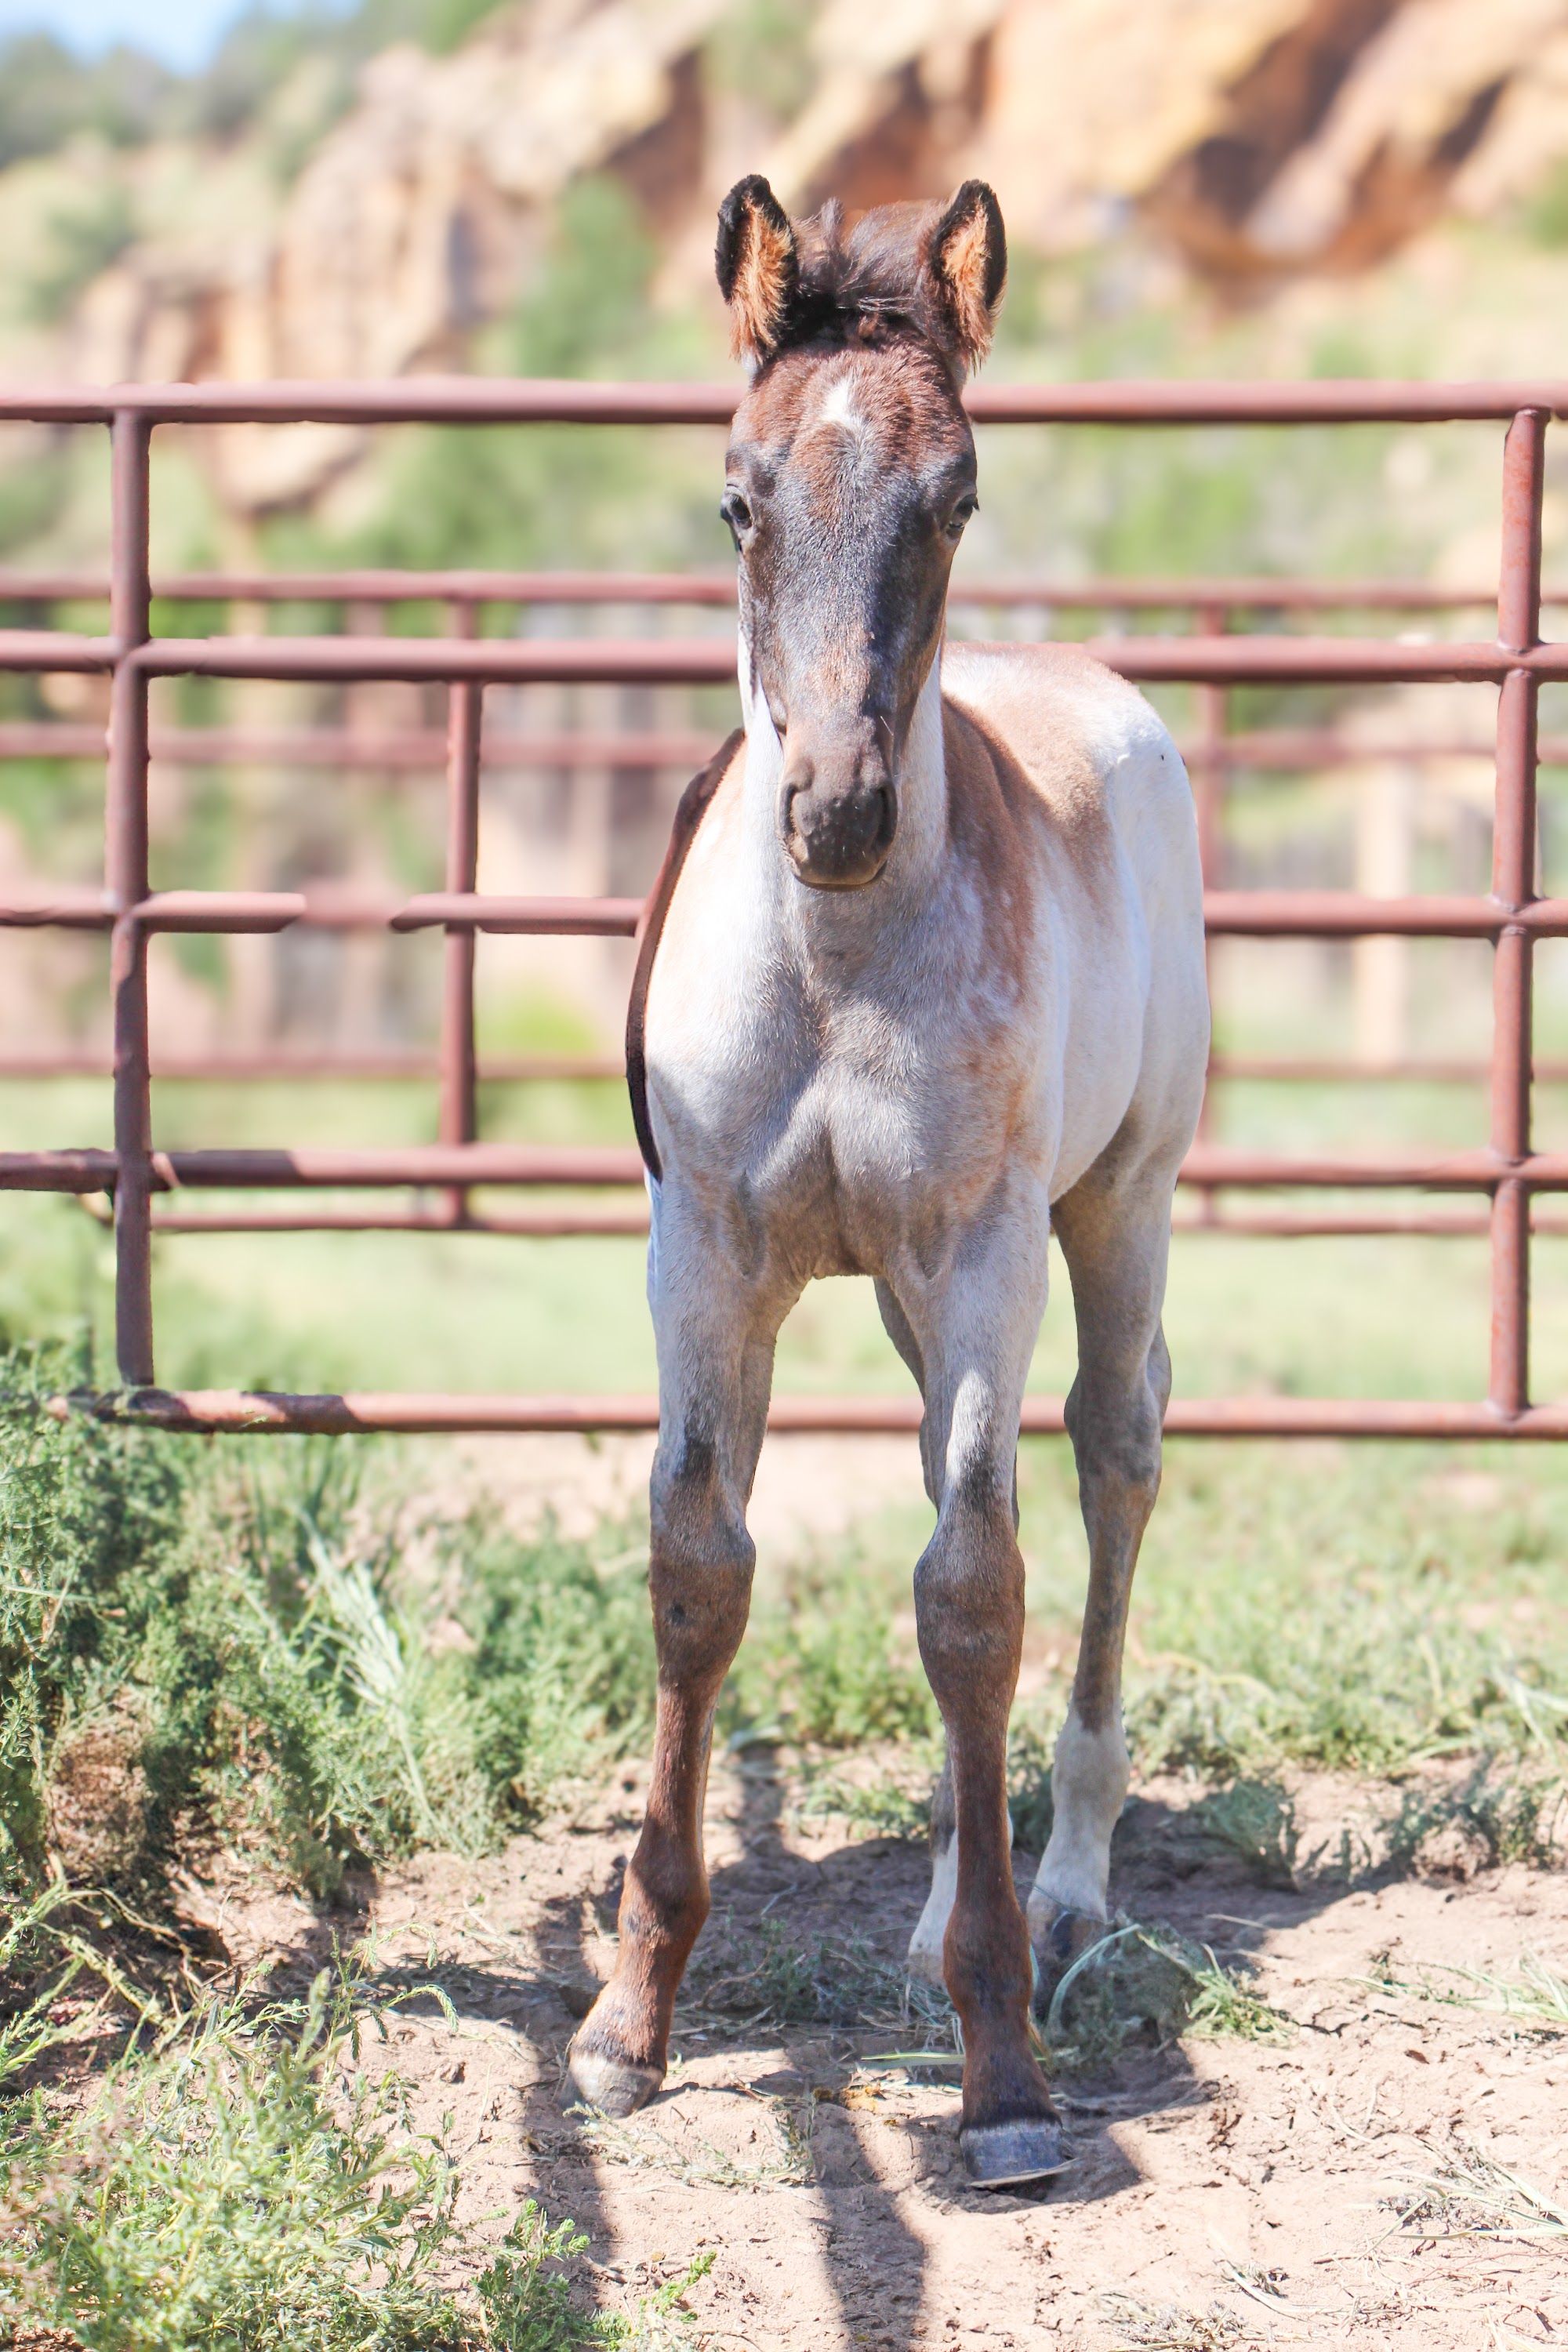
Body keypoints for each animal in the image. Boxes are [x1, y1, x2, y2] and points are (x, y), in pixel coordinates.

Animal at [565, 176, 1209, 2189]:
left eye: (959, 495)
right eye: (737, 494)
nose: (835, 810)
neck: (839, 959)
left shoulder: (987, 1248)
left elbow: (973, 1593)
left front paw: (1003, 2074)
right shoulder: (699, 1252)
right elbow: (700, 1566)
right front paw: (627, 2021)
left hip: (1116, 1206)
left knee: (1105, 1461)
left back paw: (1058, 1888)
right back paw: (935, 1907)